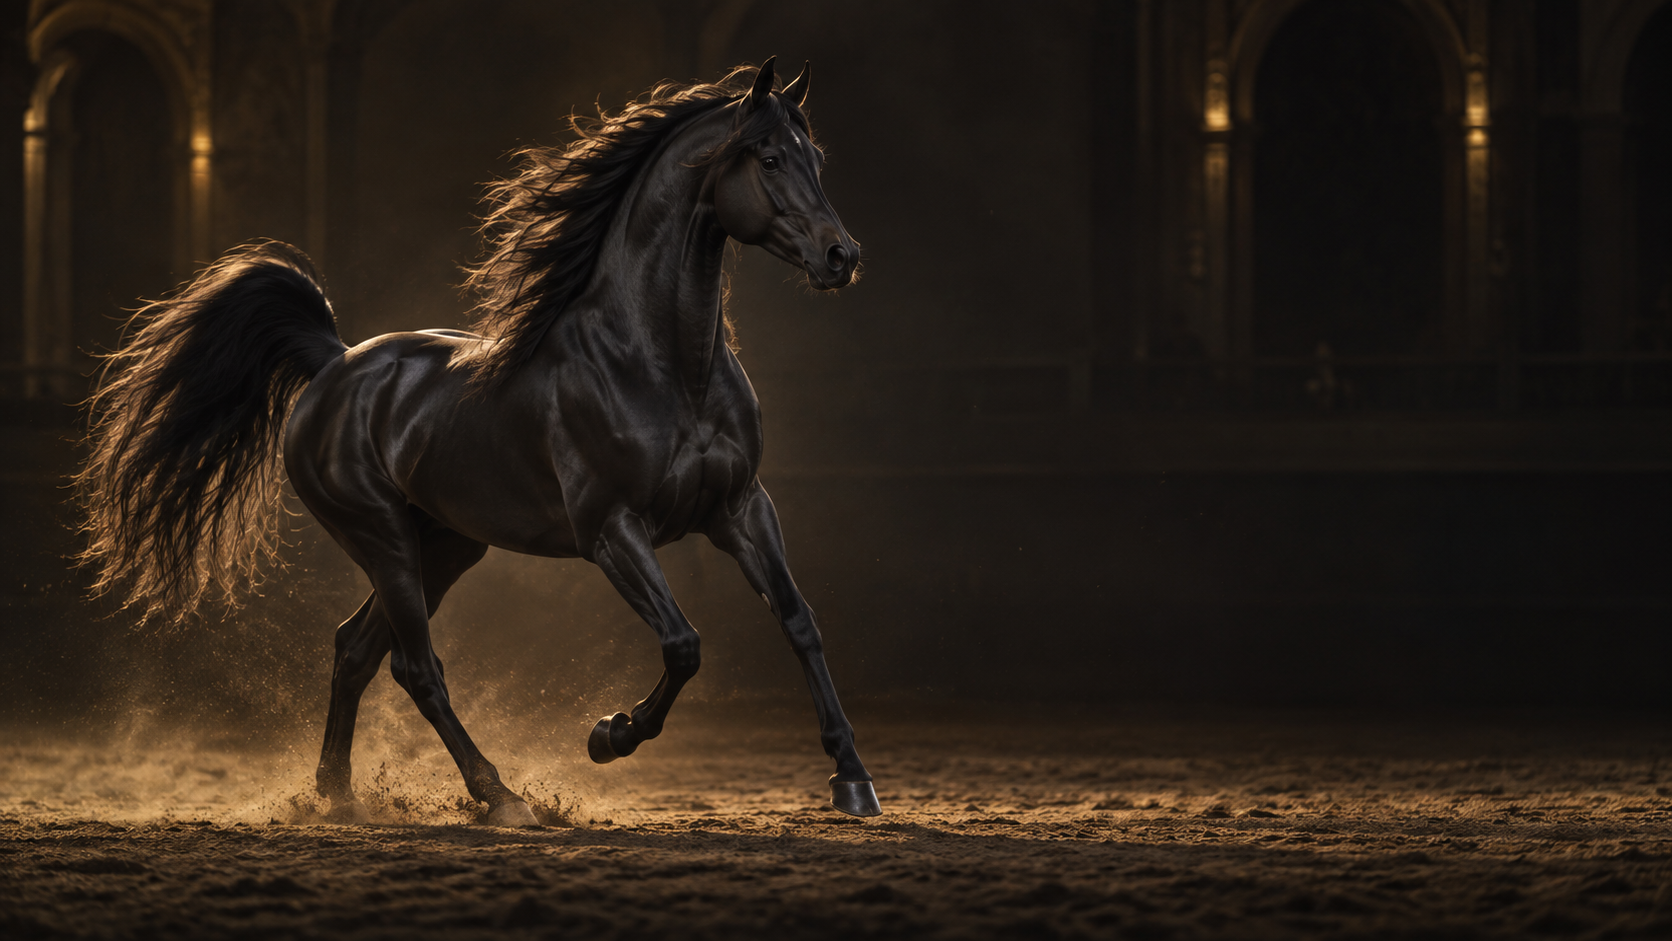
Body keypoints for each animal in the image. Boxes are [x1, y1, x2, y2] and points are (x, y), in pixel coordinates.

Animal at [75, 58, 880, 825]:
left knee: (355, 649)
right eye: (769, 158)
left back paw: (337, 795)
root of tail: (333, 363)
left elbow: (799, 621)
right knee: (415, 667)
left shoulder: (742, 508)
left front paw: (853, 777)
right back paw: (500, 797)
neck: (661, 365)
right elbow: (684, 645)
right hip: (383, 539)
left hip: (444, 545)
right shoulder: (612, 529)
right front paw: (609, 734)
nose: (841, 256)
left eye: (815, 156)